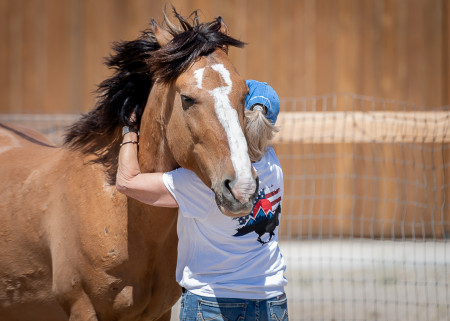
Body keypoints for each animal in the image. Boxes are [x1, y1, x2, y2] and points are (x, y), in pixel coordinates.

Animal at [0, 10, 256, 320]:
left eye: (244, 93)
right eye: (187, 98)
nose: (242, 188)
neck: (118, 206)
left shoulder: (159, 313)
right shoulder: (83, 310)